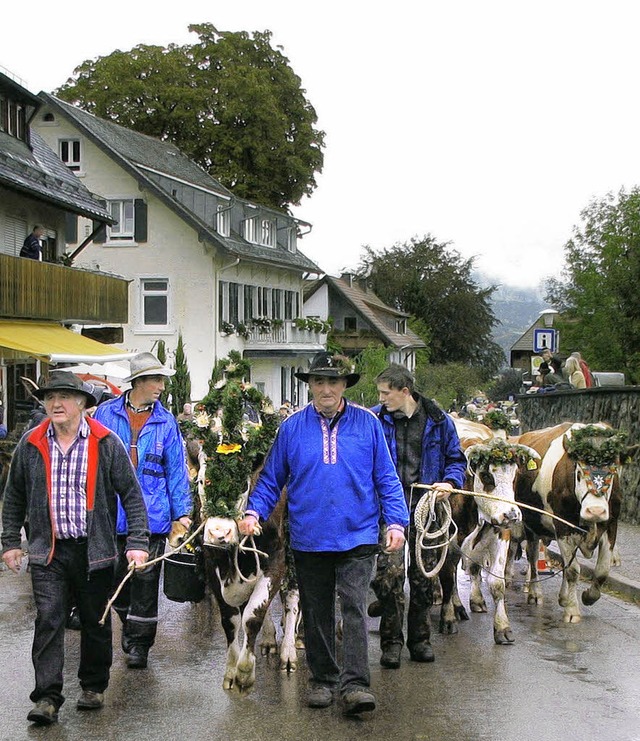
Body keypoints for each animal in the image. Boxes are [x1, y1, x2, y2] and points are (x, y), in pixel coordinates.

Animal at [180, 352, 300, 688]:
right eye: (201, 481)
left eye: (245, 483)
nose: (219, 533)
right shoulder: (212, 562)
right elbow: (230, 619)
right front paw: (232, 667)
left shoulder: (277, 557)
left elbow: (254, 614)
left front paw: (245, 671)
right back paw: (271, 641)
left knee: (292, 599)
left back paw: (289, 651)